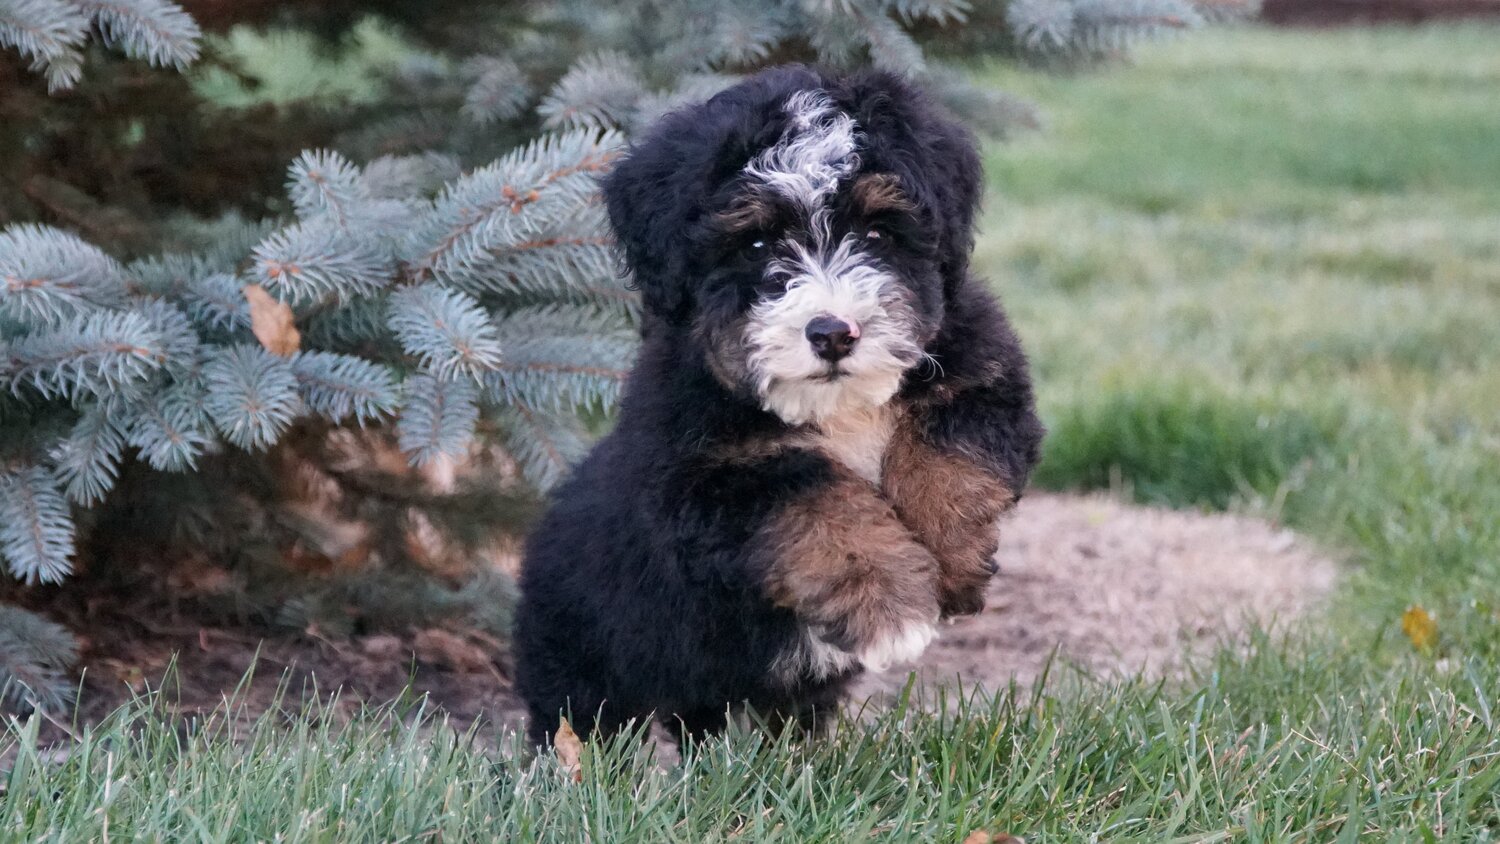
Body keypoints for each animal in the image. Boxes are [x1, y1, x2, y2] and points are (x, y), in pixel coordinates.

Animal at [516, 65, 1044, 746]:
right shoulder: (709, 477)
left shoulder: (985, 374)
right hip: (583, 661)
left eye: (877, 232)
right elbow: (818, 501)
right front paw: (891, 608)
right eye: (759, 243)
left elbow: (948, 448)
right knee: (581, 722)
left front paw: (952, 566)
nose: (833, 332)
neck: (838, 406)